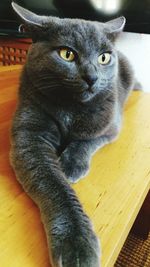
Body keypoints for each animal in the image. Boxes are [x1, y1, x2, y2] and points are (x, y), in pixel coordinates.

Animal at [10, 2, 136, 267]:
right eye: (67, 54)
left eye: (104, 57)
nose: (92, 77)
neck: (71, 107)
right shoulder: (29, 137)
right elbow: (55, 186)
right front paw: (76, 246)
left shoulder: (110, 124)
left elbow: (85, 141)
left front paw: (70, 165)